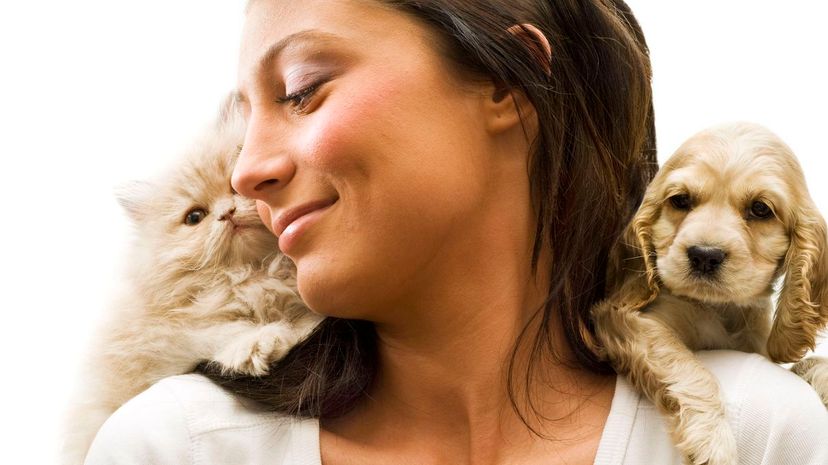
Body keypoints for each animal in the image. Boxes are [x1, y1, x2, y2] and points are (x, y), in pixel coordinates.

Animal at [58, 99, 322, 462]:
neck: (254, 274)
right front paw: (257, 344)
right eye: (194, 217)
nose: (227, 213)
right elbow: (217, 330)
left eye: (236, 186)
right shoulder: (161, 338)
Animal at [592, 122, 824, 464]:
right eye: (680, 200)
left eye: (760, 209)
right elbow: (684, 364)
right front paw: (713, 442)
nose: (704, 255)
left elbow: (806, 364)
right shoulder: (623, 319)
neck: (720, 309)